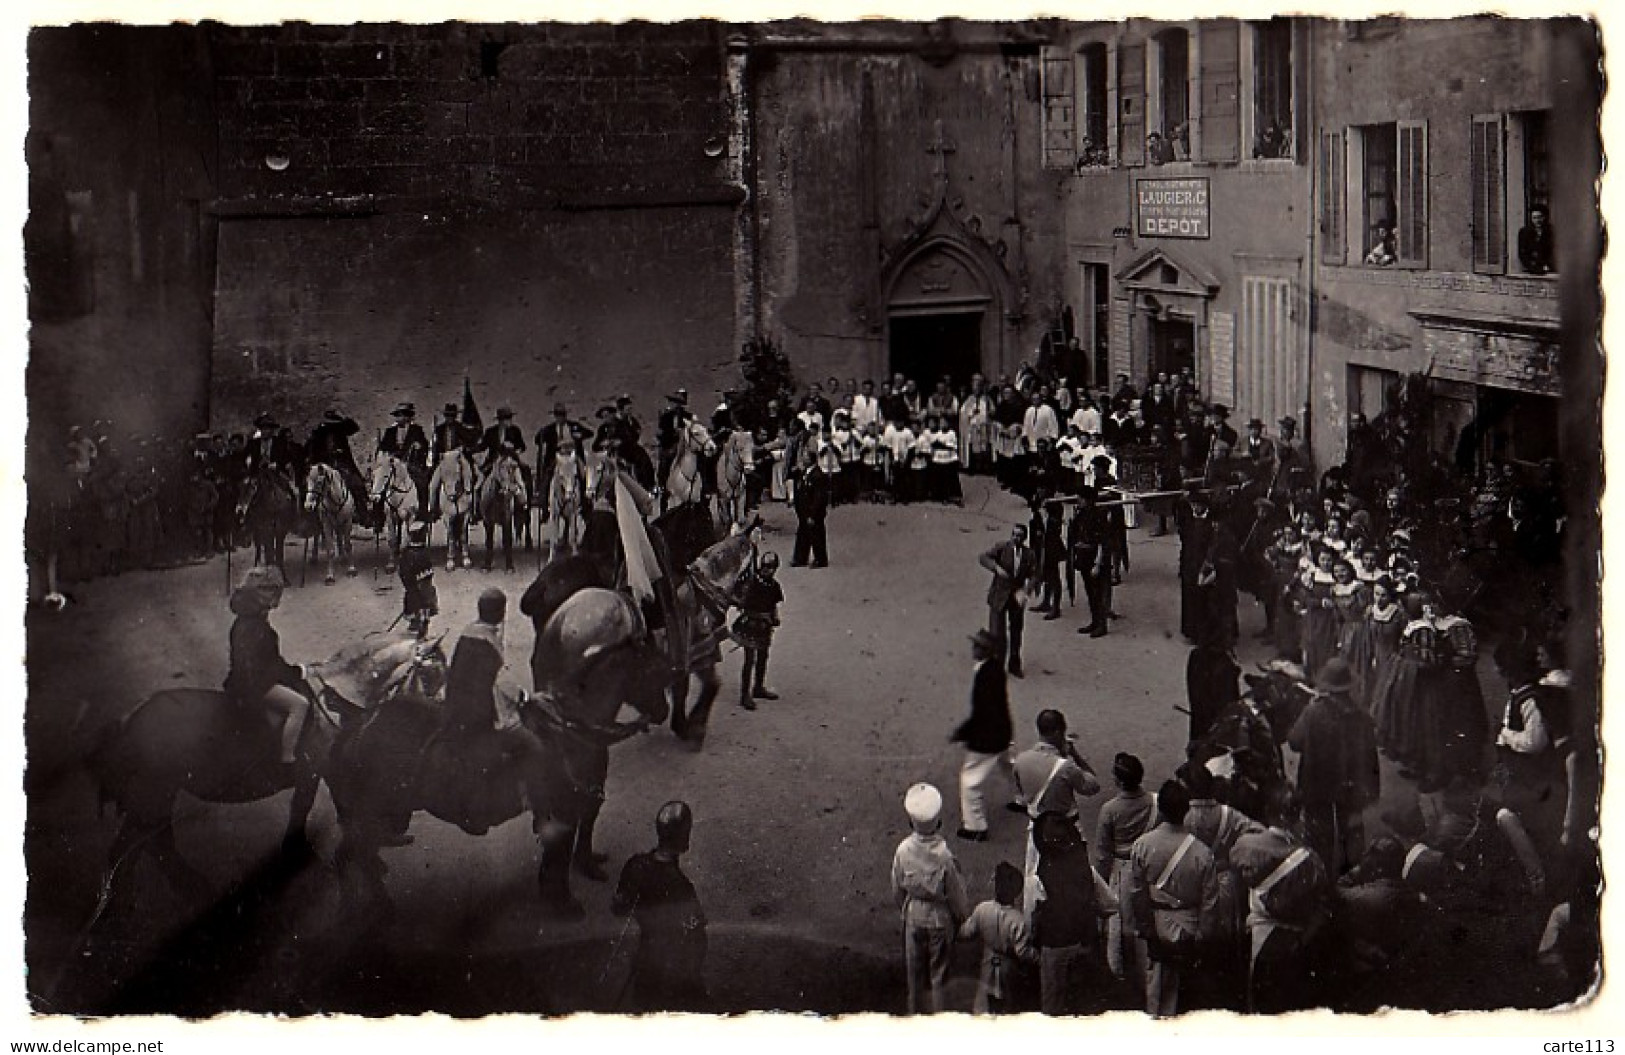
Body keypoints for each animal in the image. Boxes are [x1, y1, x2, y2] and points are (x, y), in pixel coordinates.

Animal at [85, 633, 448, 903]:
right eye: (431, 673)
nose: (441, 720)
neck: (334, 698)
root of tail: (128, 721)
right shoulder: (319, 772)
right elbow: (319, 811)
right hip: (152, 798)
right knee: (136, 850)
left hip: (155, 800)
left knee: (154, 847)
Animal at [326, 588, 669, 916]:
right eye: (653, 668)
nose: (663, 711)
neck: (569, 725)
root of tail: (354, 730)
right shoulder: (564, 808)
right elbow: (559, 855)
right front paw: (563, 901)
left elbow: (566, 845)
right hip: (375, 814)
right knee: (358, 855)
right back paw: (381, 905)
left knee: (352, 854)